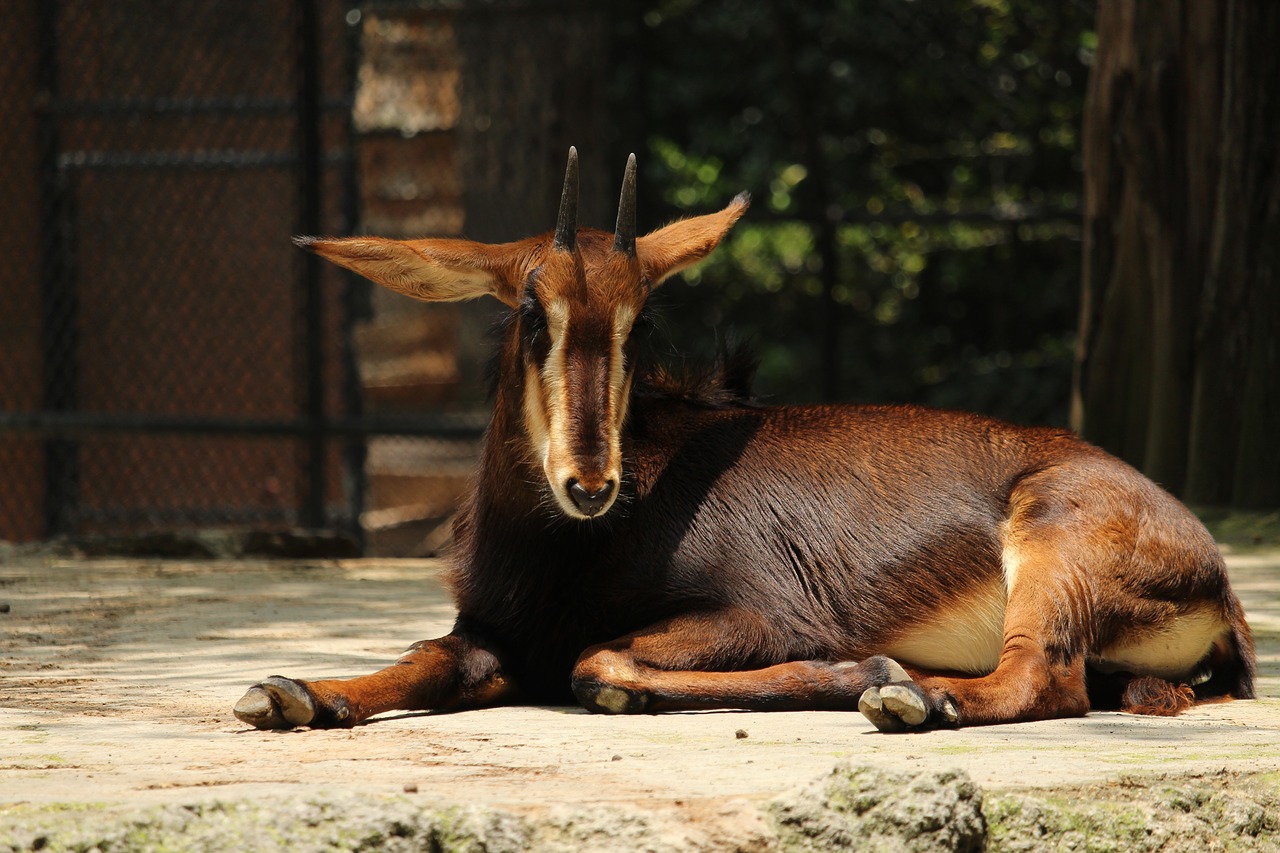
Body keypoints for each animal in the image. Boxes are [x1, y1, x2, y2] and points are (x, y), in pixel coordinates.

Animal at [235, 147, 1254, 732]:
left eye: (641, 321)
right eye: (532, 313)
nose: (591, 483)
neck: (557, 548)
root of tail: (1218, 577)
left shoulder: (759, 613)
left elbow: (595, 656)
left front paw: (854, 668)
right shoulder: (494, 632)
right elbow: (428, 656)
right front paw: (295, 691)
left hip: (1050, 545)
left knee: (1043, 679)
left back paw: (911, 690)